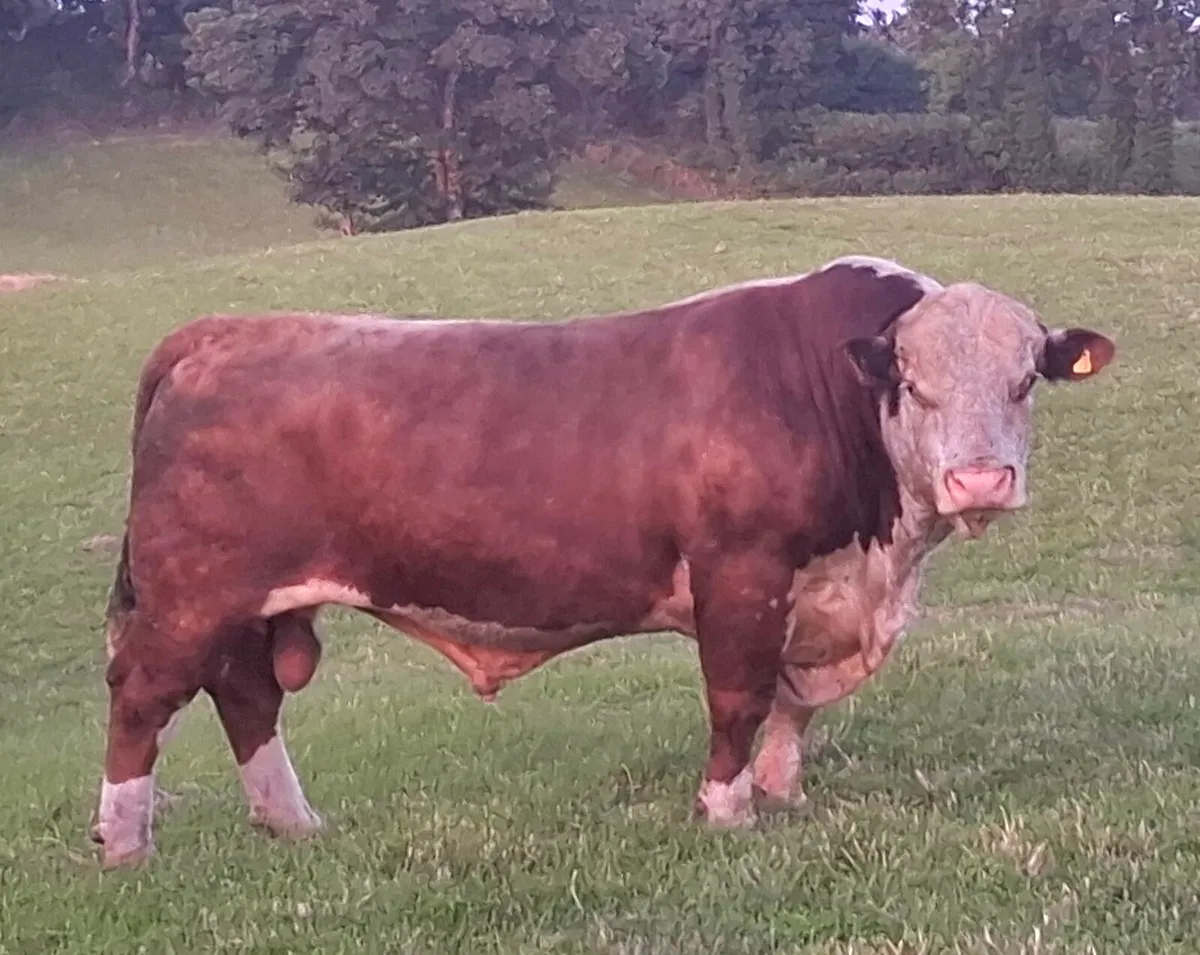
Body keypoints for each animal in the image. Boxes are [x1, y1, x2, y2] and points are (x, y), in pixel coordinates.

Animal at [89, 254, 1115, 868]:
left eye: (1025, 379)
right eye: (912, 381)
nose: (980, 479)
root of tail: (224, 330)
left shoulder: (815, 591)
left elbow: (792, 703)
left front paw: (781, 793)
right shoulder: (742, 575)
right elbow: (741, 695)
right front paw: (726, 810)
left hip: (243, 604)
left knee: (246, 694)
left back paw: (291, 822)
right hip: (189, 596)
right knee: (143, 697)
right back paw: (124, 844)